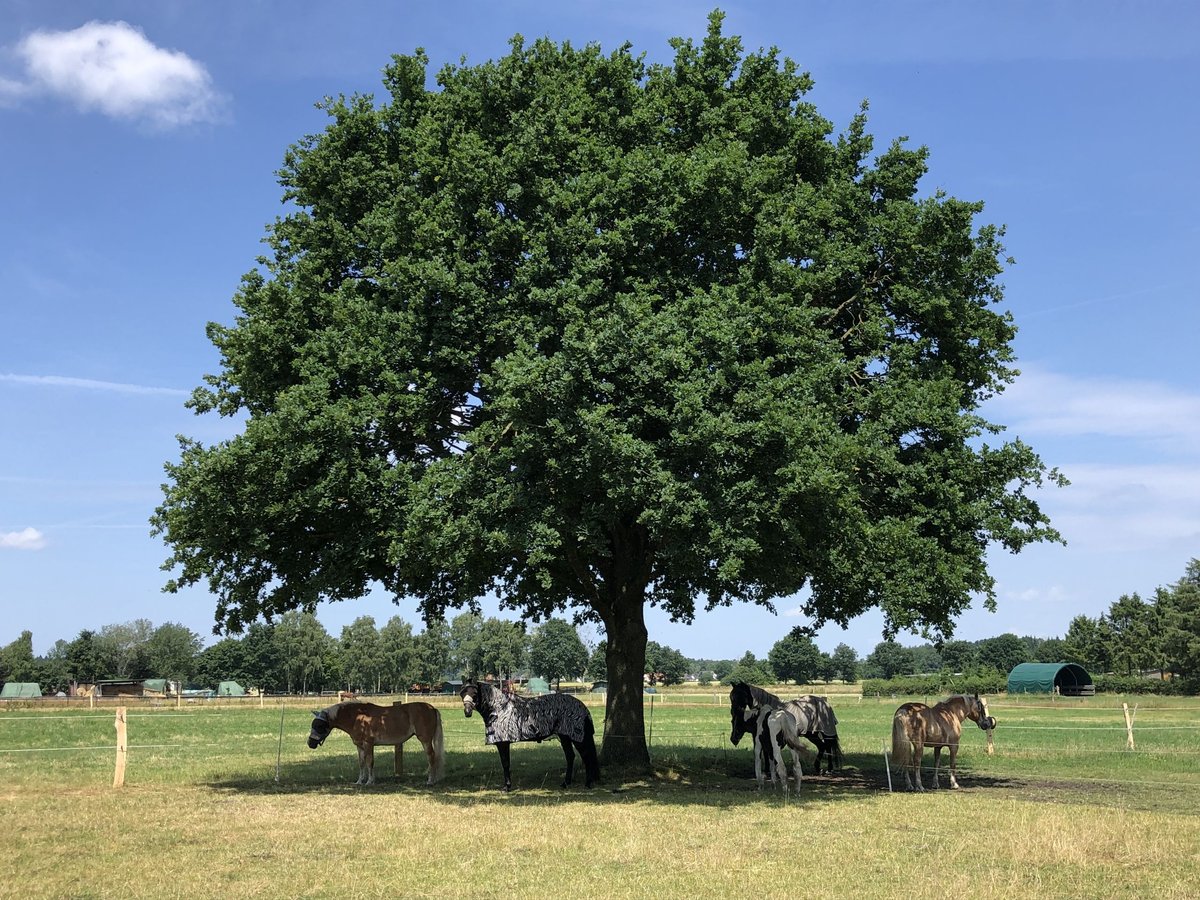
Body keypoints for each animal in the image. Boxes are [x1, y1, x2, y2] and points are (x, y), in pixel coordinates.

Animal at [307, 700, 444, 787]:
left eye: (319, 726)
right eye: (313, 724)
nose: (310, 743)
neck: (358, 717)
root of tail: (432, 708)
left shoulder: (368, 744)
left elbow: (369, 762)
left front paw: (370, 782)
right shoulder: (360, 746)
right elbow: (361, 763)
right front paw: (359, 781)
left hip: (425, 740)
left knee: (431, 756)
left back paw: (430, 781)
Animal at [458, 681, 600, 792]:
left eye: (474, 693)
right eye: (462, 693)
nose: (467, 712)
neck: (499, 708)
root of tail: (583, 709)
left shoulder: (503, 743)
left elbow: (505, 763)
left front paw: (506, 787)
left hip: (577, 738)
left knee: (586, 756)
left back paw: (587, 783)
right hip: (565, 738)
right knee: (571, 757)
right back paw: (566, 783)